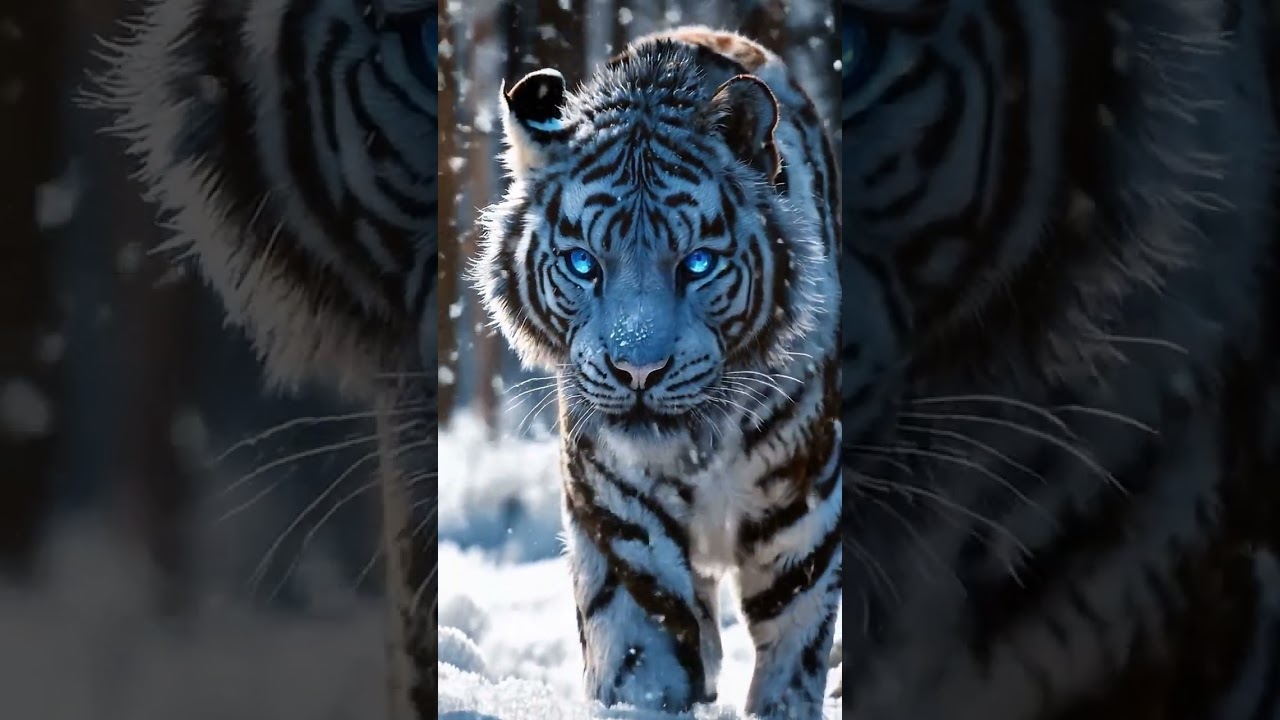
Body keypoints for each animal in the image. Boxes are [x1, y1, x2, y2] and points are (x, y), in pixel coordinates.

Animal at [474, 26, 842, 718]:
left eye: (697, 264)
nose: (637, 371)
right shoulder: (618, 512)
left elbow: (791, 652)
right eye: (583, 264)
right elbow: (643, 647)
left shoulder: (799, 510)